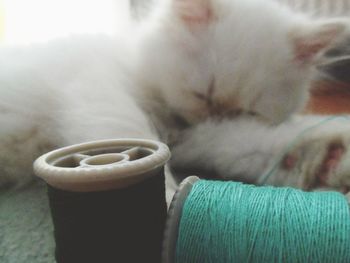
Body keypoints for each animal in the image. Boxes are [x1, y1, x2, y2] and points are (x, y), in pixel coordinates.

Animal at [0, 0, 350, 196]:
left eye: (247, 112)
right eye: (202, 94)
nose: (212, 117)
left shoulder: (186, 139)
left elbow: (244, 144)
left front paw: (323, 156)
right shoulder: (99, 92)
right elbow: (128, 146)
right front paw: (167, 203)